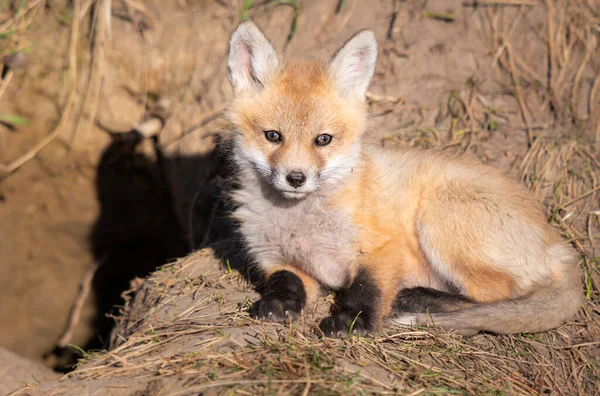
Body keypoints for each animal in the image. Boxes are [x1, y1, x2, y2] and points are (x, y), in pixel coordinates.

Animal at [224, 20, 580, 338]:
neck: (301, 224)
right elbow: (286, 283)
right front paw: (277, 304)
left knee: (497, 297)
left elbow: (366, 289)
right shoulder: (279, 260)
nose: (296, 178)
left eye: (323, 140)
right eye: (273, 136)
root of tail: (560, 246)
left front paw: (350, 322)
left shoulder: (382, 247)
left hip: (438, 218)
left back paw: (419, 300)